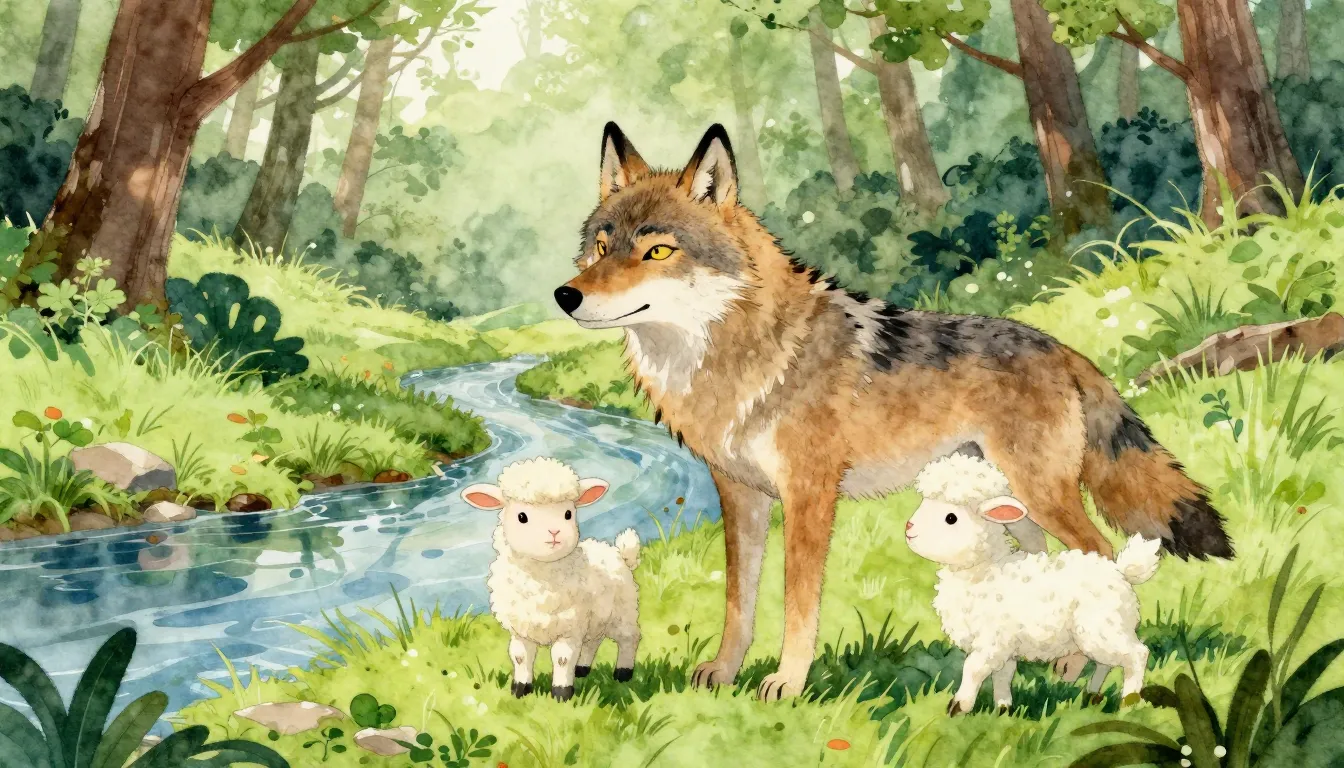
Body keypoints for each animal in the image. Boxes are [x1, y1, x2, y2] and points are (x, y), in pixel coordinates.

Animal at [461, 457, 641, 701]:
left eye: (568, 513)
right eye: (522, 517)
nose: (555, 533)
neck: (540, 581)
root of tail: (620, 553)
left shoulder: (569, 627)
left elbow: (562, 659)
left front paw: (562, 693)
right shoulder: (522, 629)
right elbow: (520, 657)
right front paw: (520, 688)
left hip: (622, 612)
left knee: (629, 638)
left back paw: (623, 672)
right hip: (596, 618)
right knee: (593, 641)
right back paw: (582, 669)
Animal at [905, 452, 1161, 716]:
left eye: (951, 518)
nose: (908, 528)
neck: (985, 570)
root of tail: (1122, 572)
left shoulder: (992, 640)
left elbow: (973, 668)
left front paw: (958, 706)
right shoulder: (1005, 647)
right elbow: (1003, 676)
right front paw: (1003, 709)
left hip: (1101, 629)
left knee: (1136, 655)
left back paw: (1129, 701)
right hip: (1101, 632)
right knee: (1105, 662)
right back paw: (1092, 696)